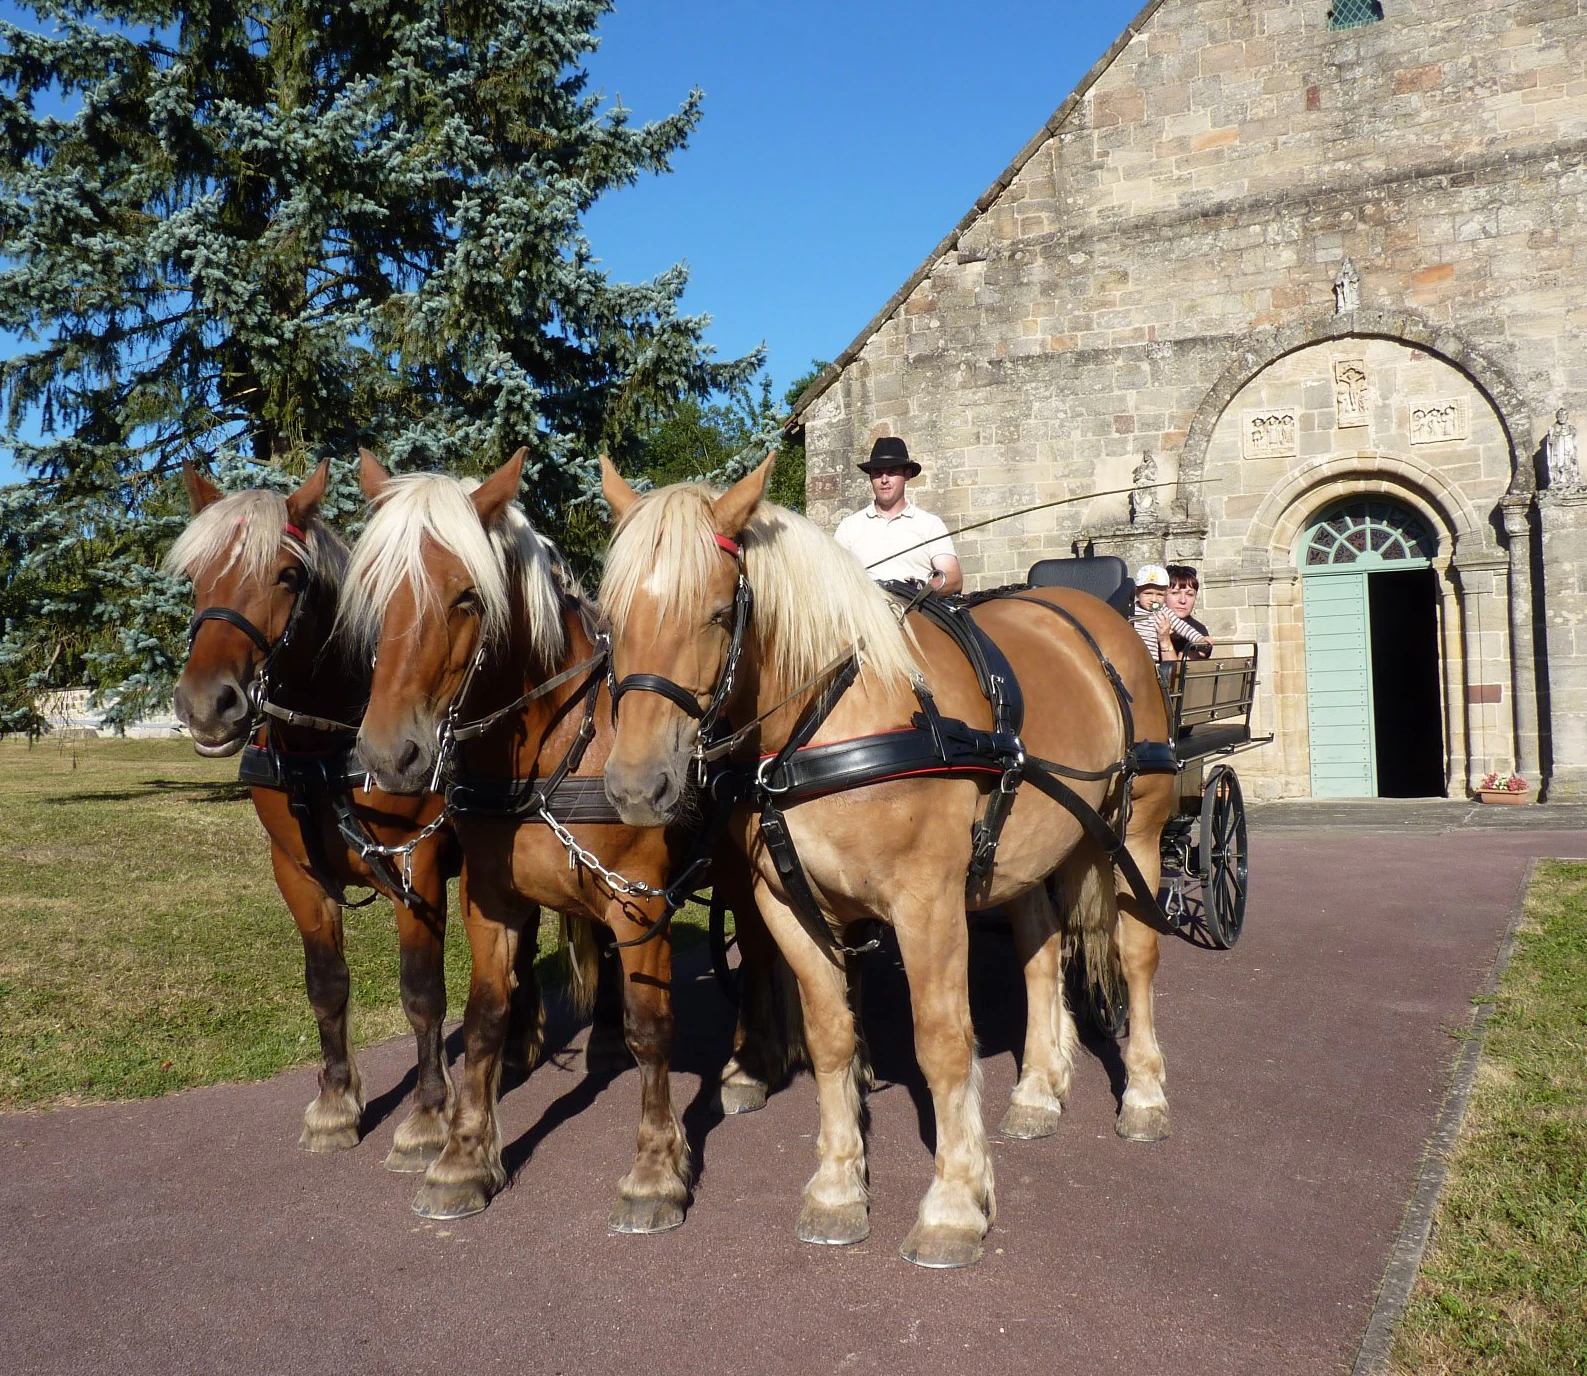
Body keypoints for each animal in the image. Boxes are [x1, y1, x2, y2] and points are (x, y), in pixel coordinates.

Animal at [344, 450, 793, 1225]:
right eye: (373, 592)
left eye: (467, 597)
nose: (386, 755)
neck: (554, 748)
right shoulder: (492, 901)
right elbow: (485, 1017)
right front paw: (463, 1157)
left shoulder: (641, 905)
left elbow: (652, 1027)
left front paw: (655, 1168)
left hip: (744, 869)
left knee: (763, 950)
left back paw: (750, 1062)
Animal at [596, 457, 1180, 1276]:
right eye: (607, 619)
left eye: (716, 613)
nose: (635, 788)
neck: (824, 721)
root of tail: (1084, 610)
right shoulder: (786, 904)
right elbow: (831, 1038)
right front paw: (838, 1189)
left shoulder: (925, 903)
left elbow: (942, 1042)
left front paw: (954, 1204)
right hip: (1033, 852)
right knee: (1039, 956)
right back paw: (1037, 1089)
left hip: (1135, 831)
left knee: (1135, 955)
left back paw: (1146, 1097)